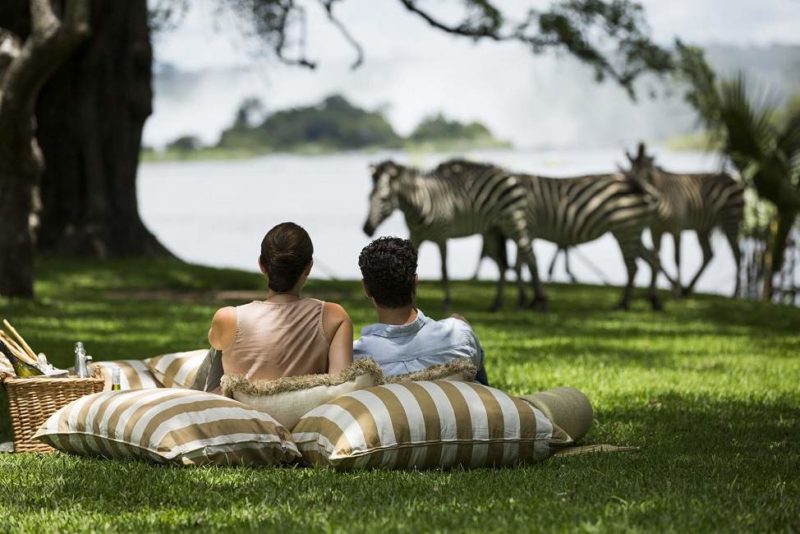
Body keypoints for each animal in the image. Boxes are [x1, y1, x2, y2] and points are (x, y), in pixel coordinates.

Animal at [366, 159, 548, 312]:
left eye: (383, 199)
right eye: (369, 197)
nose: (366, 229)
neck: (420, 203)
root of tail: (505, 173)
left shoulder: (442, 237)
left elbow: (444, 270)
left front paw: (447, 303)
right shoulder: (415, 236)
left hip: (513, 222)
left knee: (530, 256)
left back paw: (539, 302)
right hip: (492, 230)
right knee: (502, 265)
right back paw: (499, 303)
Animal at [628, 144, 748, 300]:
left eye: (645, 172)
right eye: (630, 170)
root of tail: (735, 180)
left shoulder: (677, 230)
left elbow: (677, 259)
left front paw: (677, 291)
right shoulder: (655, 231)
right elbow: (656, 256)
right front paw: (656, 289)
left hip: (731, 222)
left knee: (738, 254)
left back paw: (735, 294)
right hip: (704, 228)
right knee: (708, 254)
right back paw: (689, 288)